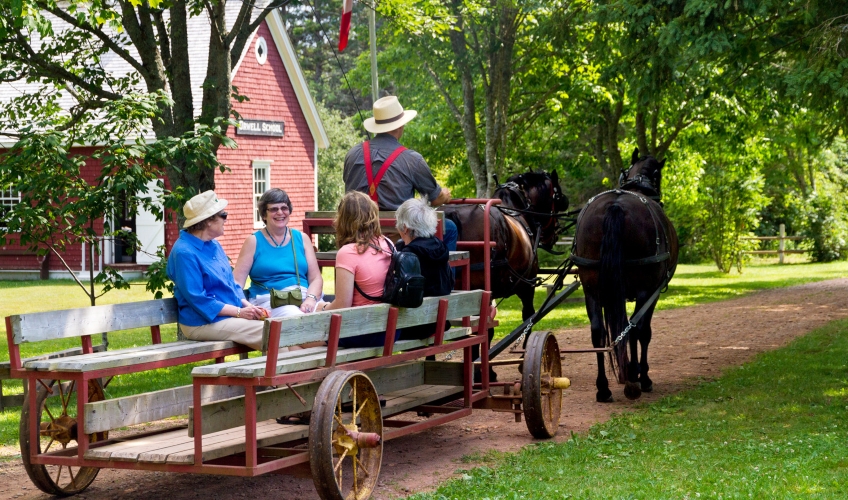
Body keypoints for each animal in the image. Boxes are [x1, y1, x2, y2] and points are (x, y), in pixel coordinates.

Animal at [572, 148, 680, 402]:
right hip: (644, 288)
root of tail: (616, 205)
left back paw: (603, 387)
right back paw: (635, 379)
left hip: (592, 288)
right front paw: (640, 374)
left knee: (598, 333)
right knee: (636, 328)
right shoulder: (652, 291)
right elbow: (641, 331)